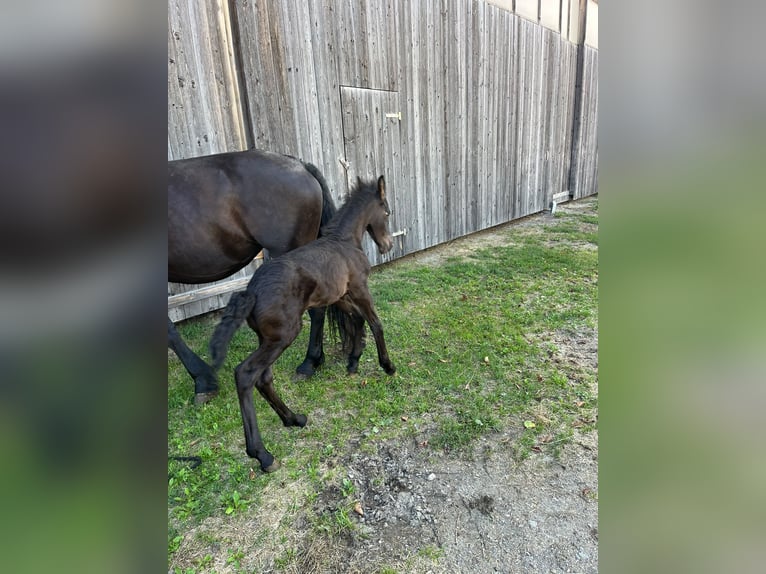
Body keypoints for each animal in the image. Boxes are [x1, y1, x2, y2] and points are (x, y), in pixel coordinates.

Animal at [209, 175, 396, 472]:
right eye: (386, 211)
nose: (388, 245)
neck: (344, 241)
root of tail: (251, 292)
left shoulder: (339, 295)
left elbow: (355, 320)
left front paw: (353, 361)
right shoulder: (358, 288)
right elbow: (375, 322)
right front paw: (387, 365)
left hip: (268, 339)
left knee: (264, 378)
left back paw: (293, 418)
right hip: (283, 335)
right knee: (246, 374)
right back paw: (263, 454)